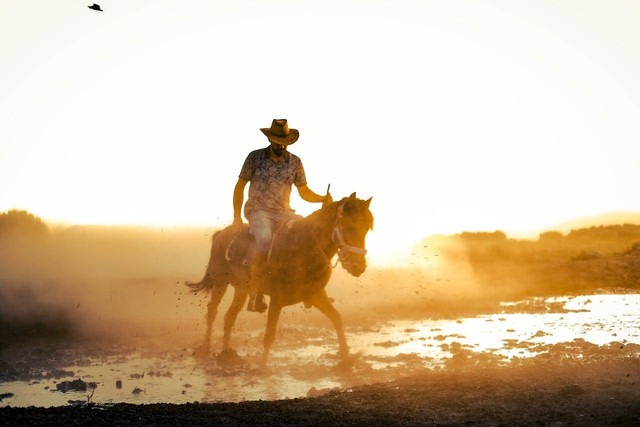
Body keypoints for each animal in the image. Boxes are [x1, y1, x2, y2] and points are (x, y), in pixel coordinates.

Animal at [185, 194, 372, 368]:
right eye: (349, 226)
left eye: (366, 229)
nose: (359, 267)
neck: (303, 248)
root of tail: (221, 234)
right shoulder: (277, 299)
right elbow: (269, 335)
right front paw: (262, 369)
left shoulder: (317, 294)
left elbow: (337, 318)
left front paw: (347, 357)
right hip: (220, 283)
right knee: (212, 311)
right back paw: (206, 348)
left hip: (242, 289)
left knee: (229, 316)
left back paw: (226, 354)